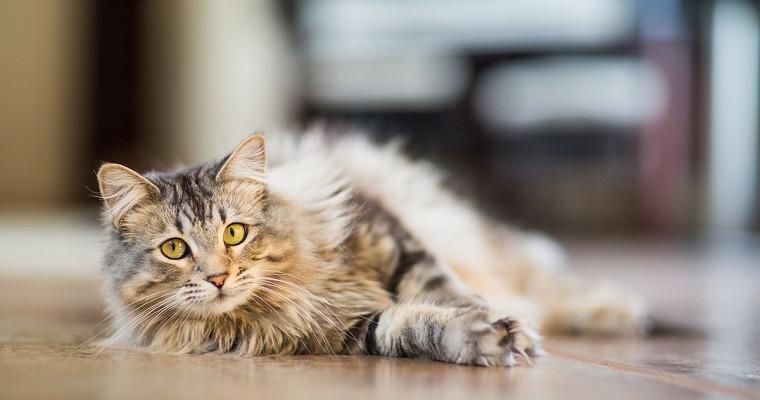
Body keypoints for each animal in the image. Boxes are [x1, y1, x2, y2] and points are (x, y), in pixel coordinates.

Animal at [92, 127, 644, 366]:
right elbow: (416, 326)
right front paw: (485, 338)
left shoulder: (388, 234)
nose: (218, 278)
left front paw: (493, 319)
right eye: (174, 250)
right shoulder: (349, 331)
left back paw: (615, 312)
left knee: (547, 281)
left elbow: (444, 288)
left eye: (234, 234)